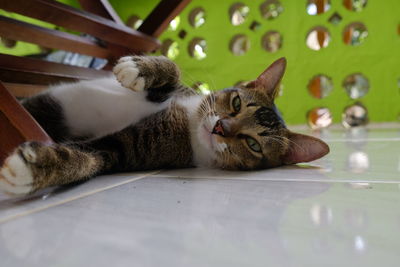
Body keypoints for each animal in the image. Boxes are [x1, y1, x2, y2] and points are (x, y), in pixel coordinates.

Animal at [0, 56, 328, 195]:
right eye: (236, 103)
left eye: (253, 144)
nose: (220, 128)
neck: (189, 122)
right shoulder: (177, 93)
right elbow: (174, 68)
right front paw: (139, 68)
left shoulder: (129, 149)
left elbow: (92, 158)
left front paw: (35, 168)